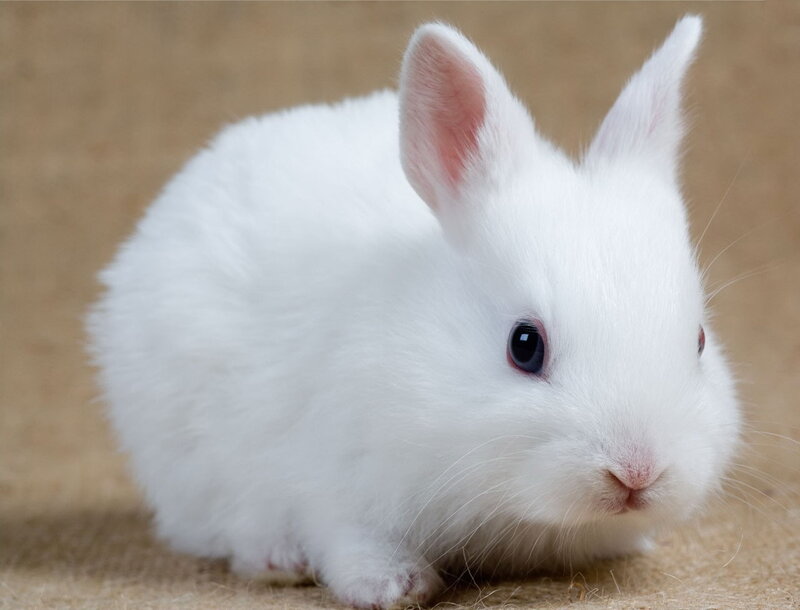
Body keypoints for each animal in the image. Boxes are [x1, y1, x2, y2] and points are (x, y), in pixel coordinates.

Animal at [88, 15, 740, 609]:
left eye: (699, 341)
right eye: (524, 345)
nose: (638, 472)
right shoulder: (335, 482)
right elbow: (348, 539)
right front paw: (392, 587)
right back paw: (277, 560)